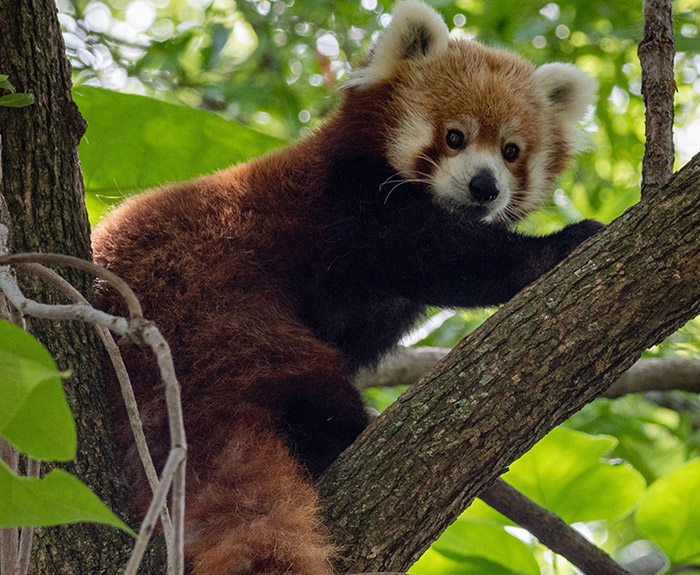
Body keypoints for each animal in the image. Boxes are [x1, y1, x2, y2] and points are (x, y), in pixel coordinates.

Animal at [91, 2, 600, 572]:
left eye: (512, 151)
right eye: (455, 137)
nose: (485, 186)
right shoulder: (345, 207)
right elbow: (437, 258)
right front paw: (556, 246)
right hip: (211, 307)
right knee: (300, 378)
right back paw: (337, 436)